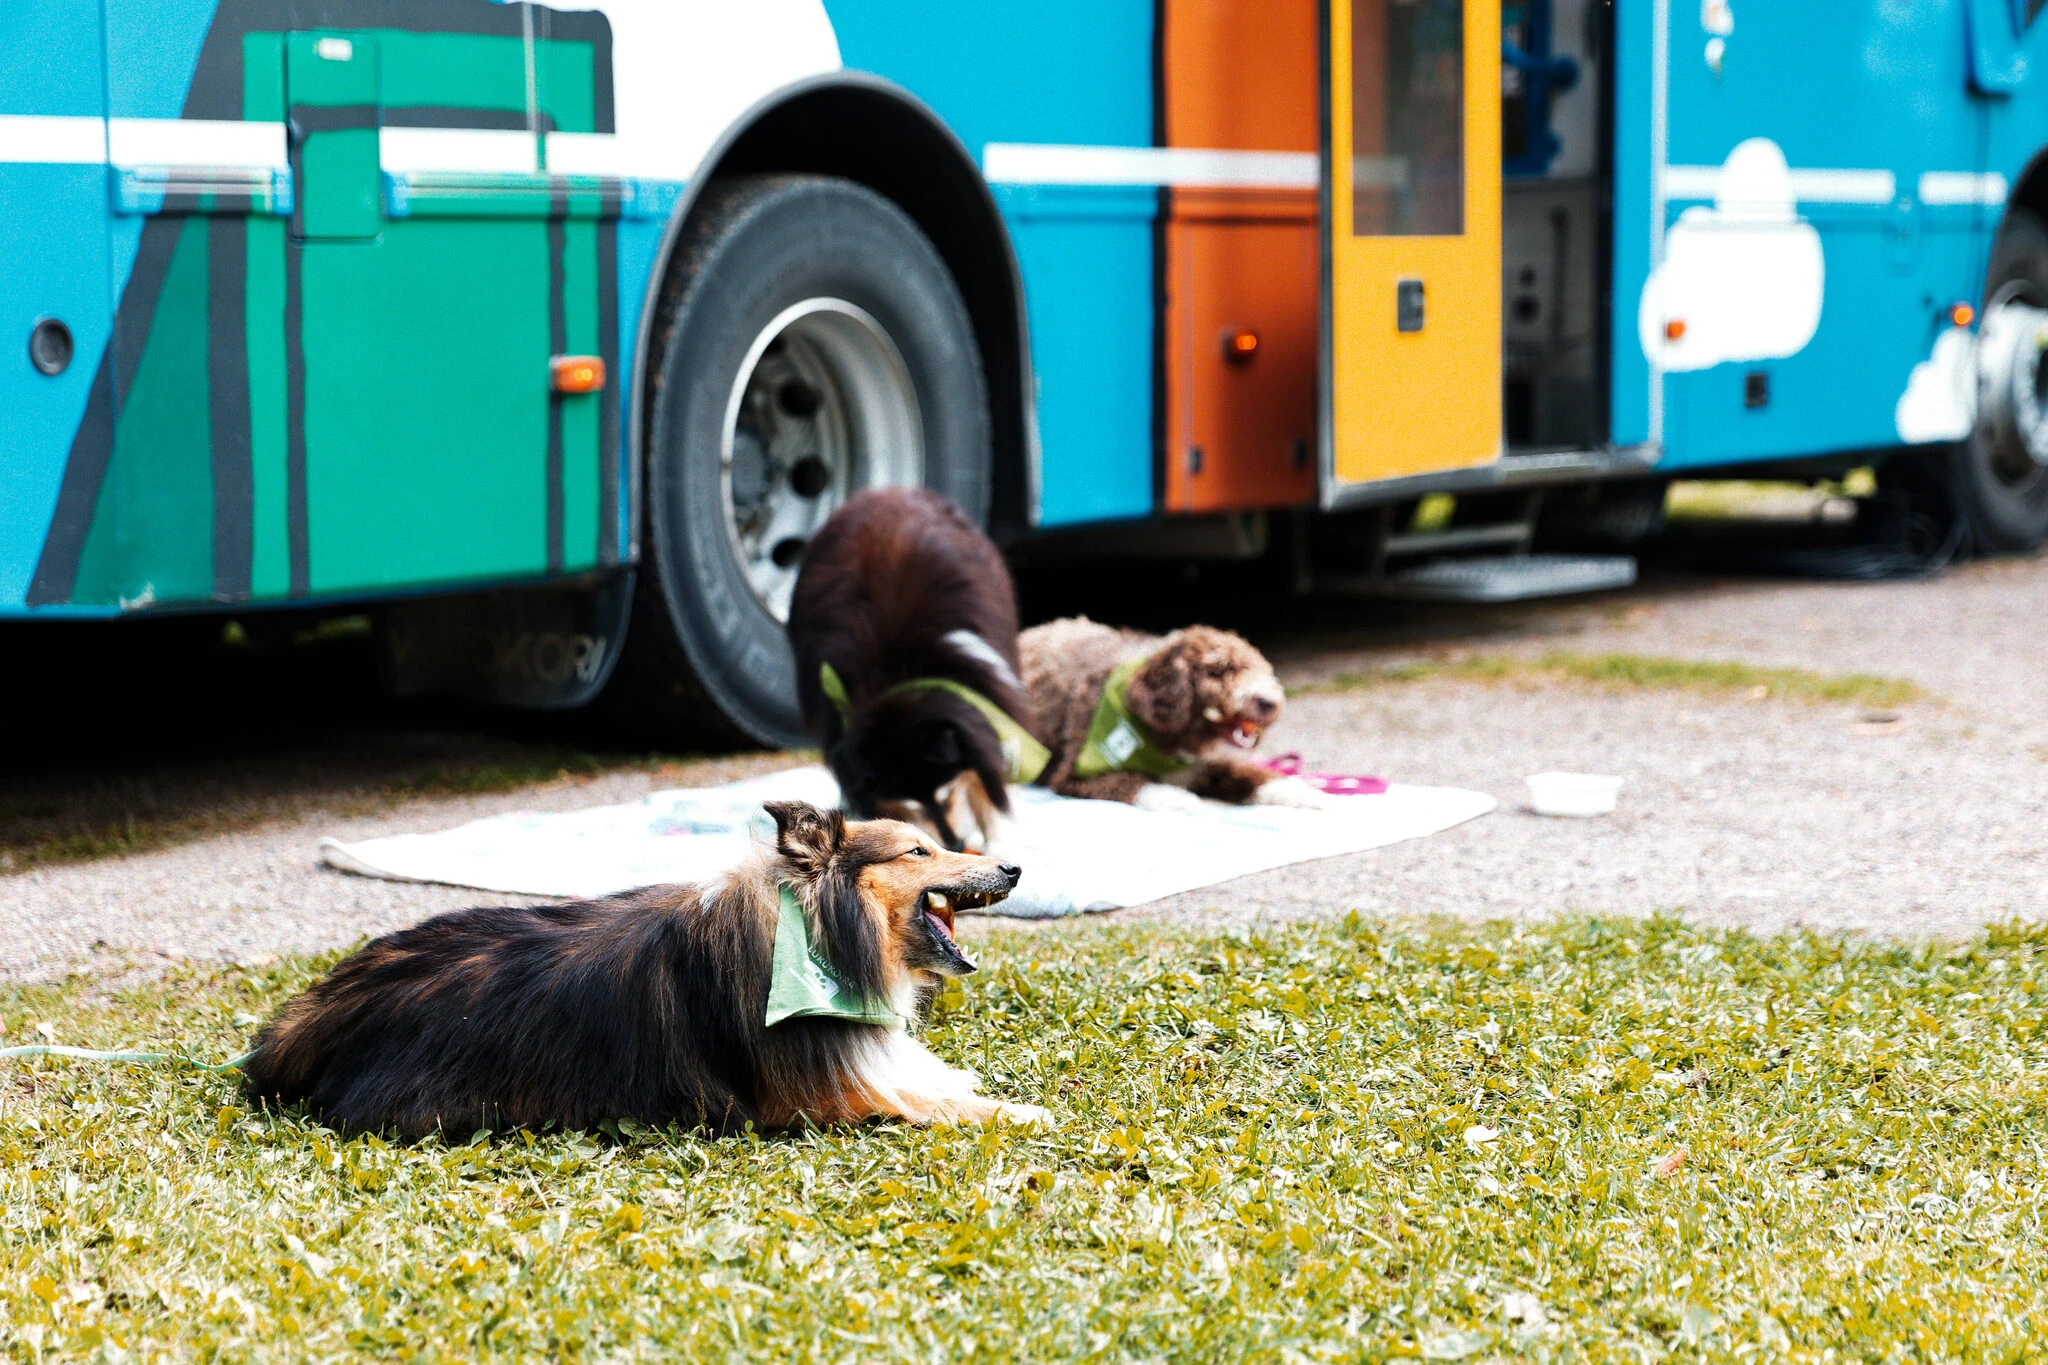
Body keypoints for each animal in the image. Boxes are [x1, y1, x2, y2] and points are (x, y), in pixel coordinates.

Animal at [241, 802, 1048, 1139]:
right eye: (918, 851)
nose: (1015, 866)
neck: (816, 933)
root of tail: (325, 1006)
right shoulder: (825, 1098)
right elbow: (931, 1101)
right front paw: (1022, 1112)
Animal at [787, 487, 1043, 852]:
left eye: (947, 794)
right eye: (912, 805)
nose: (954, 844)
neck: (896, 678)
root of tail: (883, 493)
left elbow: (986, 785)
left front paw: (994, 841)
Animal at [1019, 617, 1325, 812]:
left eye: (1260, 669)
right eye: (1217, 672)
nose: (1268, 703)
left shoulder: (1206, 764)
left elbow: (1251, 773)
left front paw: (1296, 791)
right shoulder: (1072, 774)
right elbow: (1131, 782)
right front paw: (1176, 798)